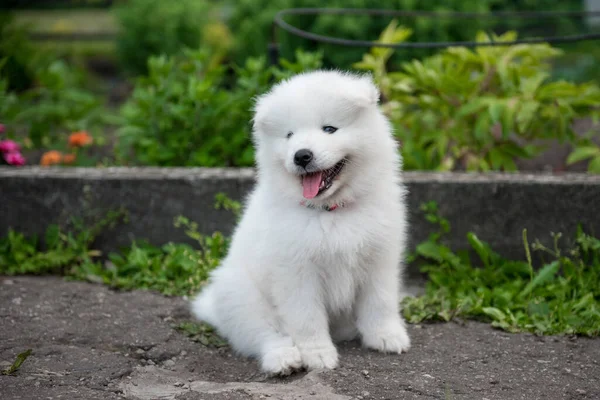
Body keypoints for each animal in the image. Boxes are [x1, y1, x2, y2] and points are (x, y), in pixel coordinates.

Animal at [190, 69, 410, 376]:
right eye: (289, 135)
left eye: (329, 129)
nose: (301, 155)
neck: (331, 211)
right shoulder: (296, 272)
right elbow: (307, 318)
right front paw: (317, 354)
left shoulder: (379, 258)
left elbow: (380, 301)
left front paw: (386, 336)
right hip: (241, 294)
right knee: (264, 334)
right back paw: (284, 359)